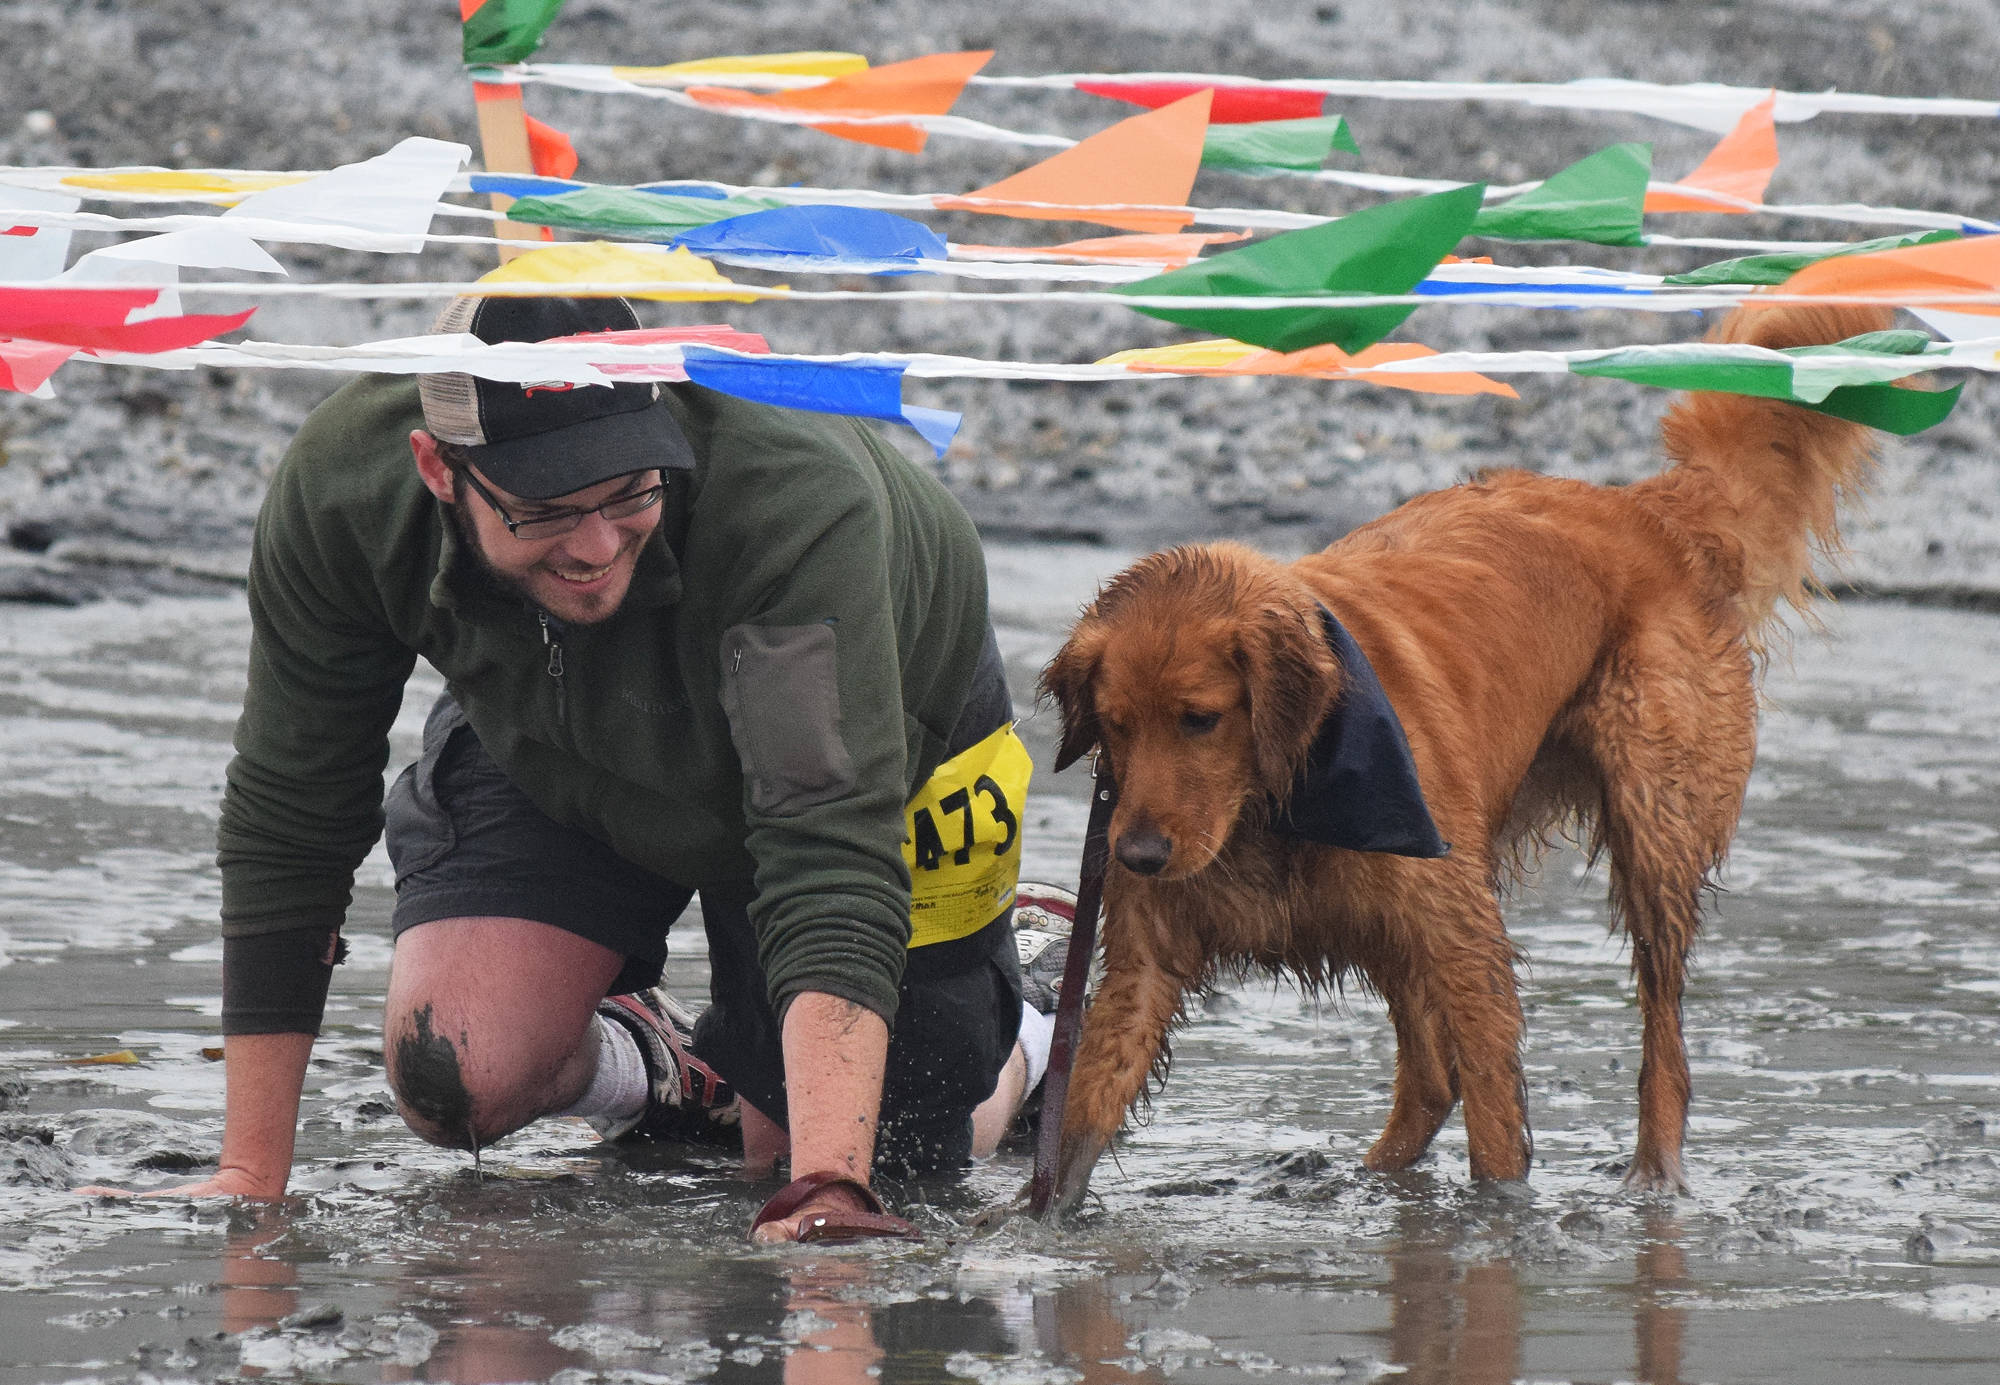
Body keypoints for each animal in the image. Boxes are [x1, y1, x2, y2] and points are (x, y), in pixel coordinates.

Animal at [1040, 302, 1896, 1208]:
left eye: (1200, 719)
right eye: (1115, 726)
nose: (1136, 853)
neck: (1281, 798)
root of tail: (1644, 510)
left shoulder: (1465, 948)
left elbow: (1495, 1131)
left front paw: (1498, 1223)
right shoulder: (1148, 958)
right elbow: (1079, 1121)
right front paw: (1036, 1226)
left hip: (1652, 830)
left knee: (1661, 1043)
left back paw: (1653, 1178)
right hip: (1401, 917)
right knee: (1427, 1076)